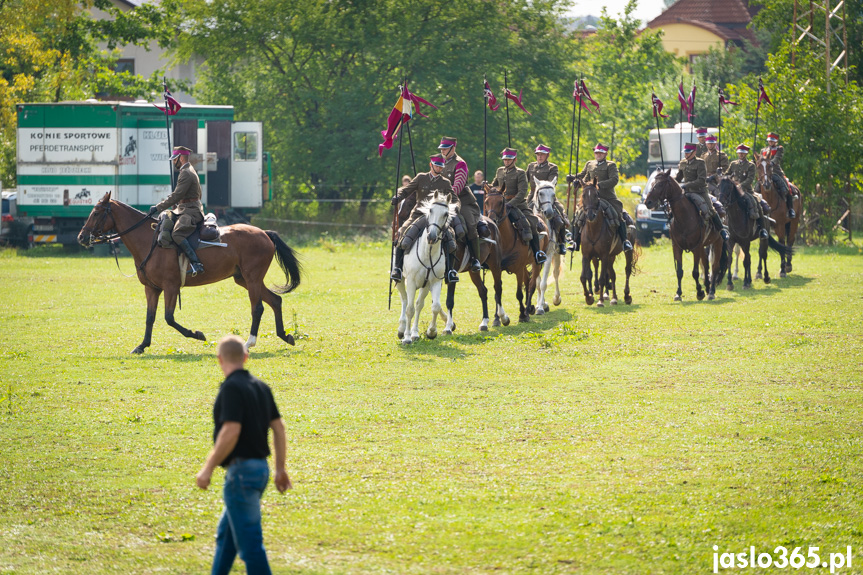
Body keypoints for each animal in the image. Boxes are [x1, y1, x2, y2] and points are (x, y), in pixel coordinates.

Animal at [78, 194, 300, 356]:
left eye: (96, 212)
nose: (81, 237)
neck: (150, 241)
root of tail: (264, 233)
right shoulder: (152, 289)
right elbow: (150, 318)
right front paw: (142, 345)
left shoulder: (171, 287)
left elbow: (169, 318)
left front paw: (197, 334)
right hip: (244, 279)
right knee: (276, 301)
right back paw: (285, 336)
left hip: (252, 279)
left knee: (258, 308)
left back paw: (248, 343)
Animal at [394, 194, 456, 344]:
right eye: (431, 210)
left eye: (446, 214)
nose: (432, 237)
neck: (428, 253)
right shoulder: (410, 281)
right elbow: (409, 309)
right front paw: (407, 337)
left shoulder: (434, 282)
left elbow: (435, 307)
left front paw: (431, 332)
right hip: (400, 280)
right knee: (405, 301)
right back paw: (402, 329)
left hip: (425, 286)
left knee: (418, 304)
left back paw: (415, 333)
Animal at [480, 188, 548, 326]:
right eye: (486, 202)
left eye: (501, 202)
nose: (492, 220)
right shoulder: (497, 269)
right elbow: (497, 292)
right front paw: (497, 318)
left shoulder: (517, 269)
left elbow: (519, 294)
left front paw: (522, 315)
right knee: (527, 281)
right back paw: (529, 308)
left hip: (536, 264)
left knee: (532, 285)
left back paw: (527, 310)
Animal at [528, 179, 564, 318]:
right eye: (540, 193)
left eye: (553, 194)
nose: (549, 212)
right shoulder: (536, 259)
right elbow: (538, 283)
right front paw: (540, 304)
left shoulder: (548, 256)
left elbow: (543, 283)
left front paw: (540, 308)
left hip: (557, 255)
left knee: (556, 274)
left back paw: (556, 299)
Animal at [648, 171, 728, 302]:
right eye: (652, 183)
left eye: (660, 184)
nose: (647, 202)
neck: (684, 218)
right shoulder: (677, 247)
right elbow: (679, 271)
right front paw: (678, 294)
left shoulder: (696, 248)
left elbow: (695, 272)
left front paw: (699, 292)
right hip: (703, 246)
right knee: (706, 265)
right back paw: (707, 287)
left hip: (717, 242)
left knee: (714, 266)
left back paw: (711, 292)